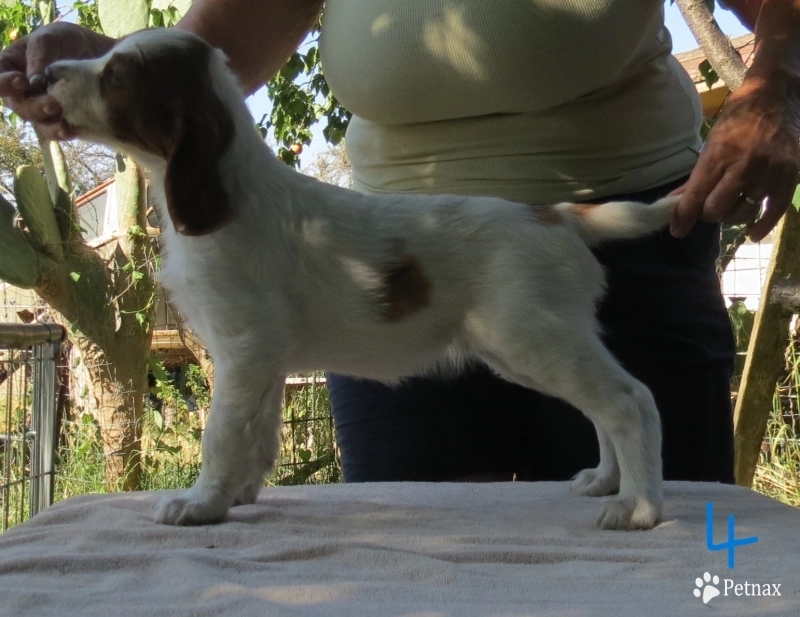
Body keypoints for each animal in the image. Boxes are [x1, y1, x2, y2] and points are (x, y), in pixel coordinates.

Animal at [47, 28, 680, 528]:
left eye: (117, 75)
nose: (48, 71)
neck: (232, 194)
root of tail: (557, 214)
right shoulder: (265, 360)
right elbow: (258, 434)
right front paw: (239, 496)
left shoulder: (244, 347)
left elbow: (222, 435)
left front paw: (201, 505)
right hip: (532, 345)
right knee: (604, 406)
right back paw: (605, 481)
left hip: (532, 335)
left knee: (630, 400)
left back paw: (639, 507)